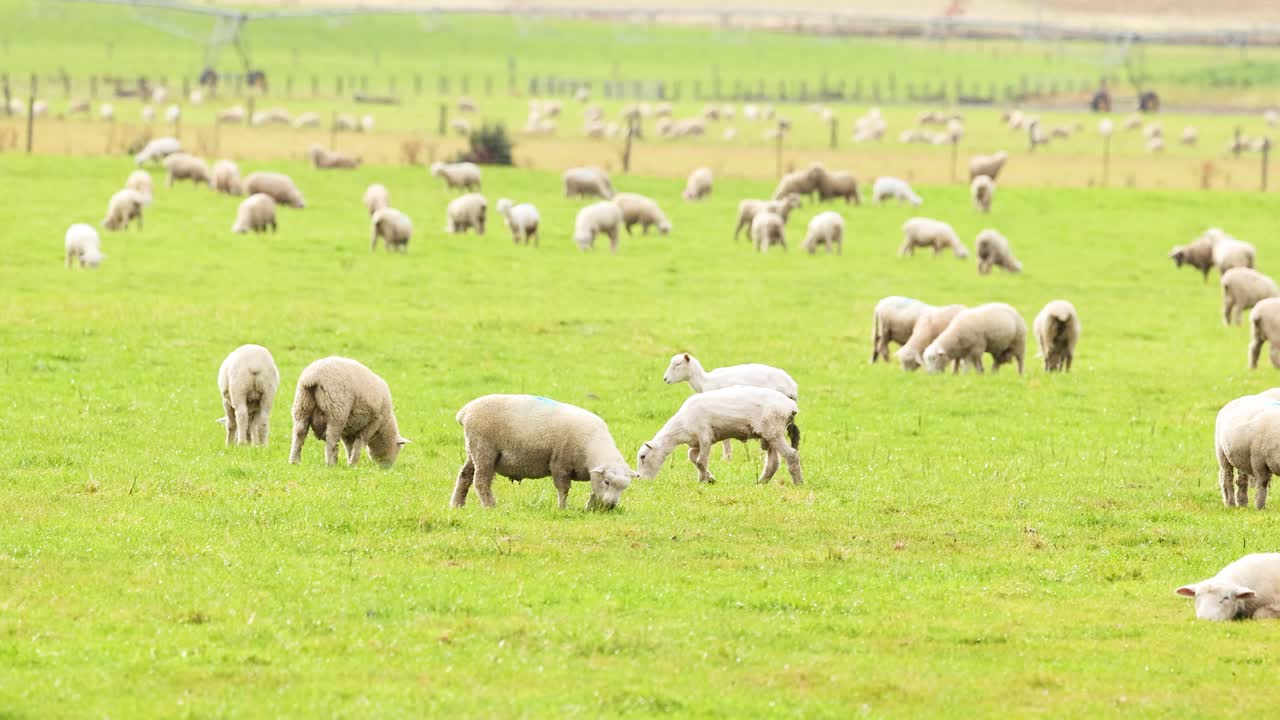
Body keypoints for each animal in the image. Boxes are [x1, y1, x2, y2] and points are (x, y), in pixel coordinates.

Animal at [451, 394, 635, 510]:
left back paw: (457, 505)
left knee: (464, 476)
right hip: (484, 449)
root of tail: (465, 412)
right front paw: (562, 509)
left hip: (472, 450)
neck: (592, 447)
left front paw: (590, 508)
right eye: (607, 482)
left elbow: (594, 492)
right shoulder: (560, 464)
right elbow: (564, 489)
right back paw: (490, 506)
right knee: (481, 481)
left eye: (624, 488)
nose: (611, 506)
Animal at [637, 386, 802, 486]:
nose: (641, 480)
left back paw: (798, 483)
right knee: (773, 462)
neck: (680, 426)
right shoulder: (696, 442)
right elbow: (693, 457)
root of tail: (791, 407)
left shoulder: (705, 436)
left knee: (792, 456)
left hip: (773, 431)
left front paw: (701, 481)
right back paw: (761, 482)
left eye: (643, 456)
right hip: (769, 435)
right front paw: (710, 478)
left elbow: (701, 461)